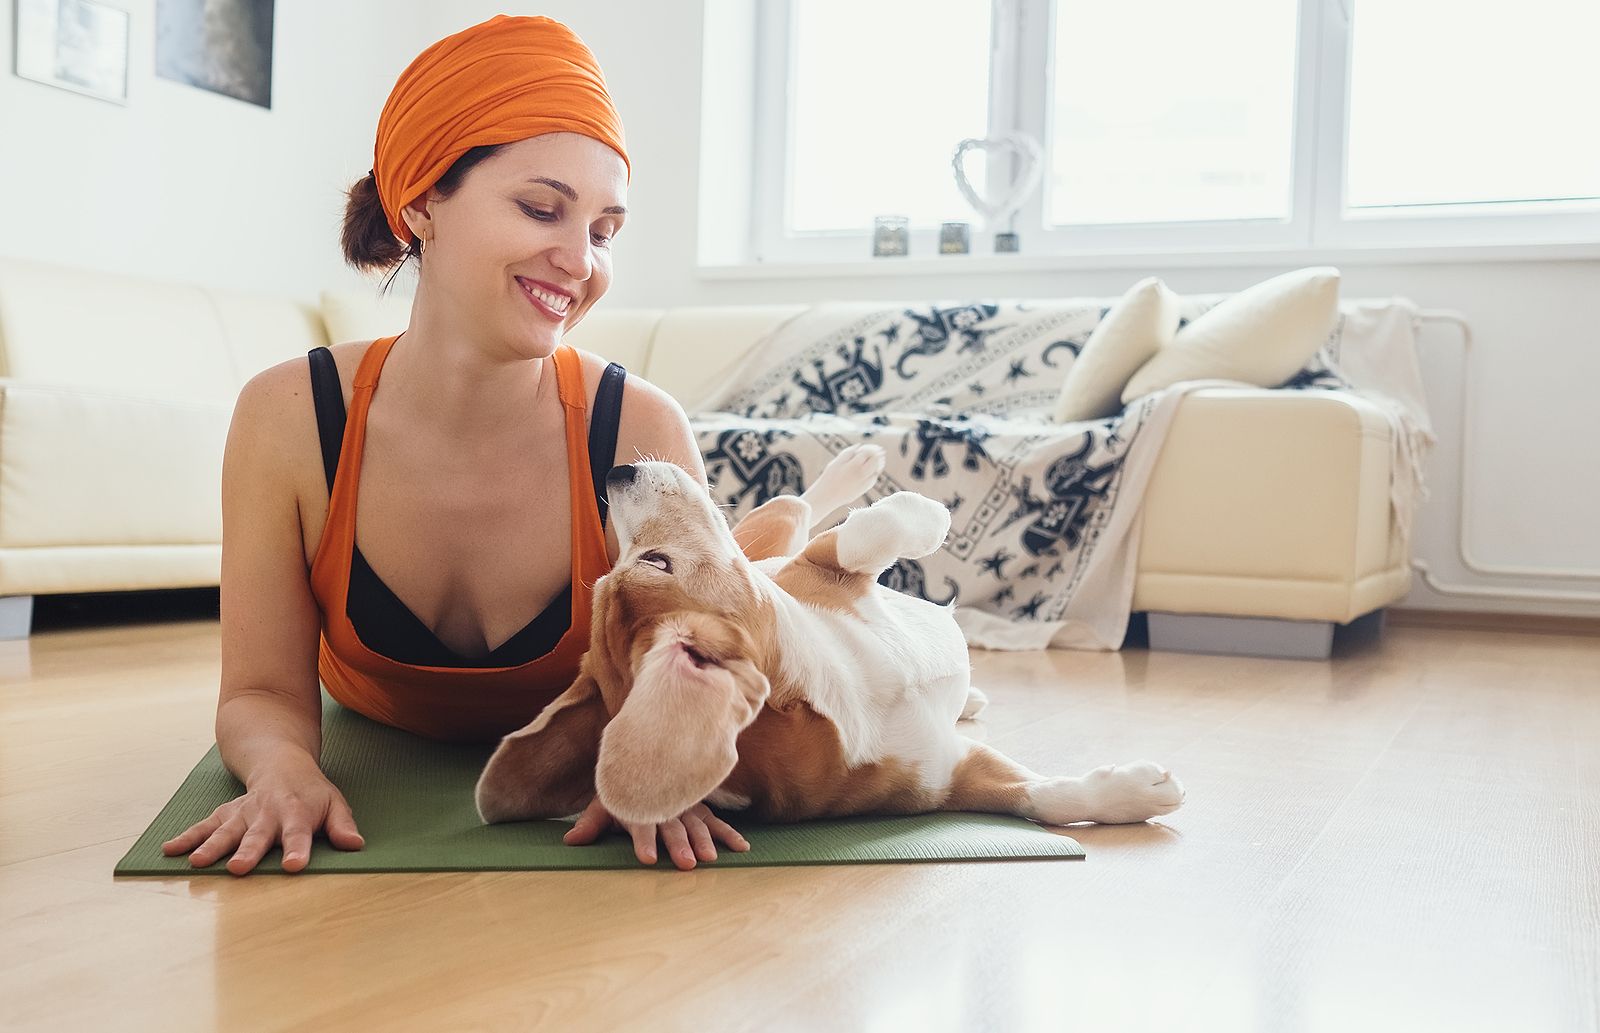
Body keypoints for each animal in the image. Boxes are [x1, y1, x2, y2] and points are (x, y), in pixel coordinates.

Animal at [467, 454, 1184, 831]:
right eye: (656, 561)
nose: (615, 471)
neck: (847, 690)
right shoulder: (948, 778)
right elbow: (1042, 802)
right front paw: (1143, 792)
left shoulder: (808, 567)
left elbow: (861, 536)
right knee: (800, 505)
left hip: (775, 538)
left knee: (798, 504)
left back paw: (854, 465)